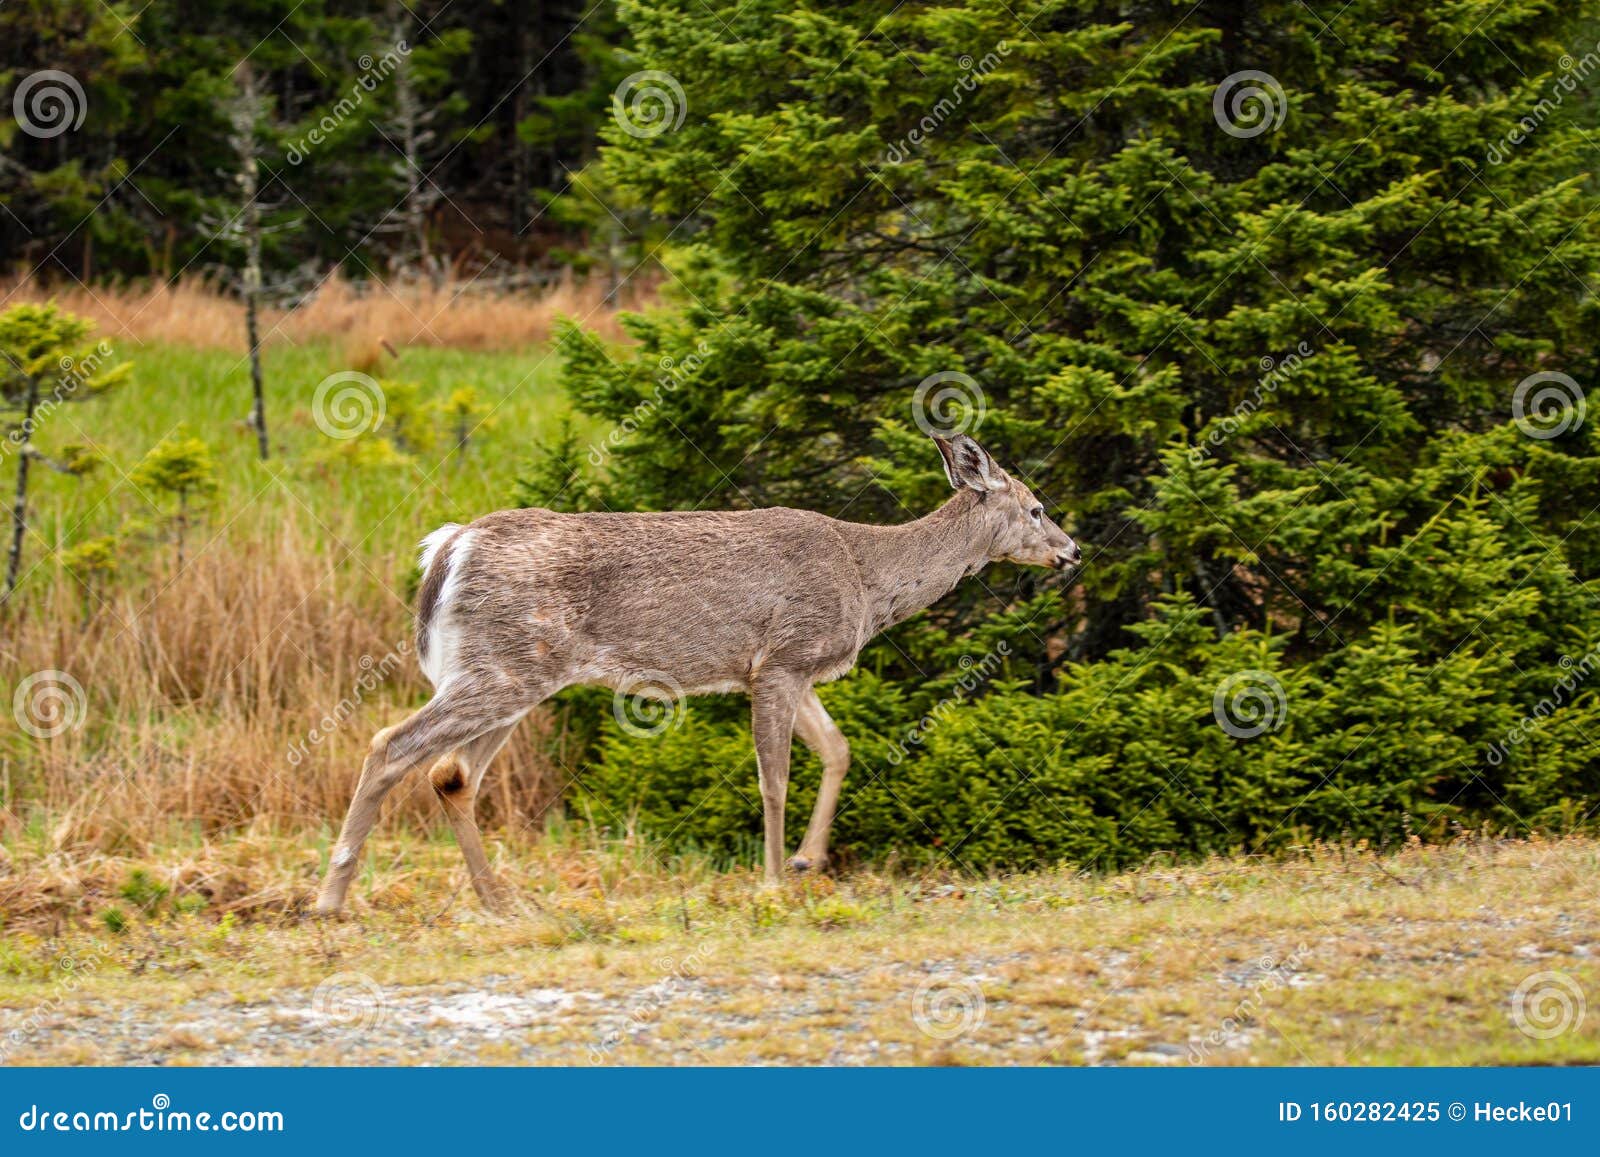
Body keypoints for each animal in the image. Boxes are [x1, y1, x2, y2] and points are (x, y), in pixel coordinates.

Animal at [313, 433, 1080, 914]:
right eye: (1037, 506)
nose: (1072, 551)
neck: (866, 576)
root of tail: (450, 546)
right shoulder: (783, 656)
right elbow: (774, 779)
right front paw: (772, 881)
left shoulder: (780, 669)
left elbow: (838, 749)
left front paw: (806, 862)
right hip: (503, 670)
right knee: (392, 743)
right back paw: (330, 899)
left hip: (513, 673)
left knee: (451, 774)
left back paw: (501, 902)